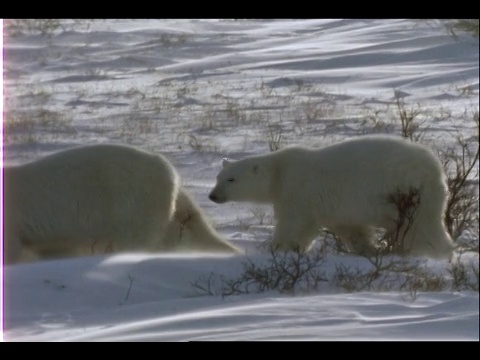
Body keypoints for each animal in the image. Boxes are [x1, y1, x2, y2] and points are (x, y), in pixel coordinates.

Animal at [209, 136, 454, 258]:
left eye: (231, 179)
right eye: (218, 177)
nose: (212, 195)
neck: (279, 172)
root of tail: (435, 169)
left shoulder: (298, 189)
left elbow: (294, 224)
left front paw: (279, 248)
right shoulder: (338, 207)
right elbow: (350, 228)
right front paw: (367, 249)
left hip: (407, 192)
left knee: (420, 226)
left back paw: (435, 251)